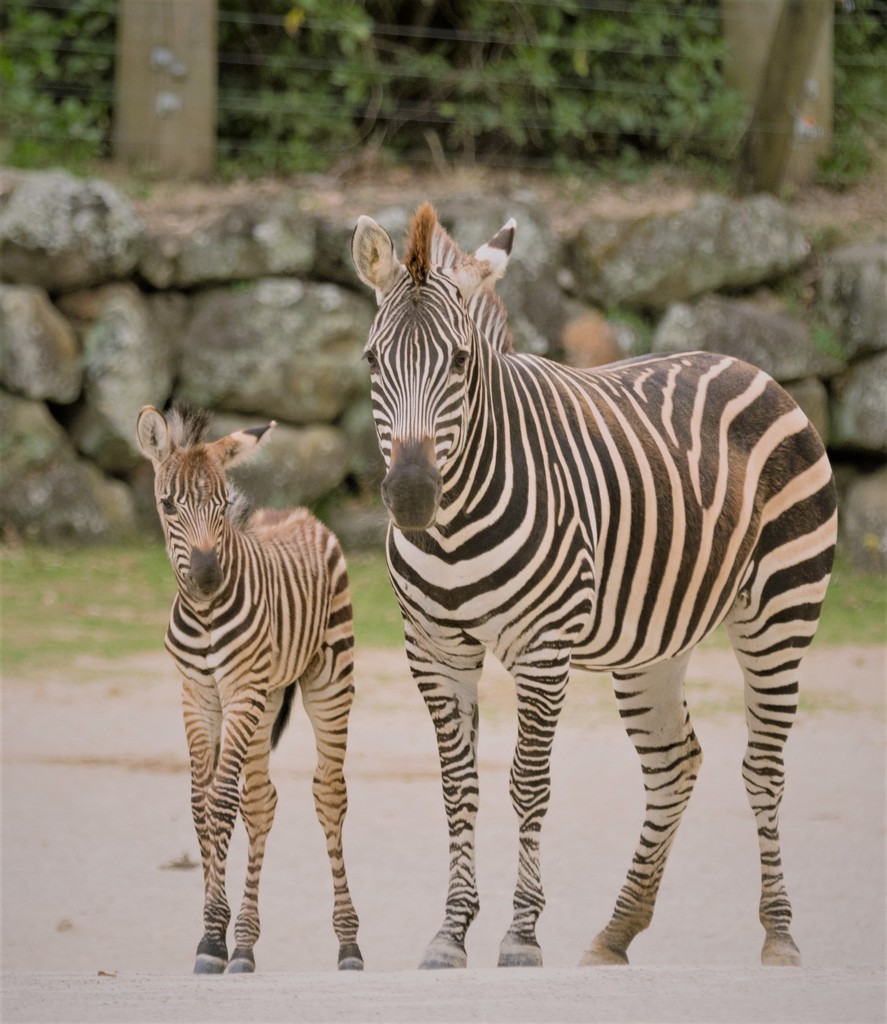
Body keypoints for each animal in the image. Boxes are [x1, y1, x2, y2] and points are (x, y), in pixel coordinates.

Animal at [135, 403, 362, 970]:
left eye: (221, 504)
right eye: (168, 504)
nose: (208, 577)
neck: (205, 615)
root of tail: (301, 513)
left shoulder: (238, 694)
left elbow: (219, 802)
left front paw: (213, 939)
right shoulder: (197, 698)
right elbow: (201, 804)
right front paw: (215, 937)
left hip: (328, 681)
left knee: (329, 794)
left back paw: (349, 945)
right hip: (267, 698)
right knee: (260, 801)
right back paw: (245, 945)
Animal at [348, 199, 831, 966]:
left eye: (459, 361)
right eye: (372, 359)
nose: (413, 498)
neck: (454, 528)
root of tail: (742, 360)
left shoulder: (544, 652)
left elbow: (528, 784)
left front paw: (520, 935)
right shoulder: (433, 650)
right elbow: (458, 787)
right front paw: (451, 933)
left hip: (782, 610)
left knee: (763, 768)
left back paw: (779, 935)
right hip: (654, 645)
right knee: (674, 763)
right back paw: (615, 932)